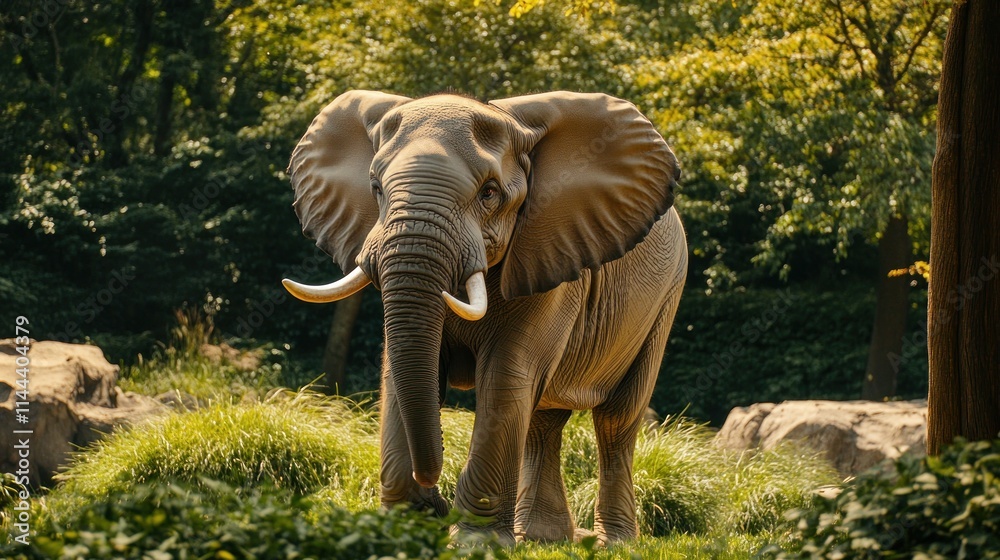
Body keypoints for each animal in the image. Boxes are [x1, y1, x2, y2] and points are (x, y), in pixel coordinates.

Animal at [282, 90, 687, 544]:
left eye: (489, 193)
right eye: (375, 188)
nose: (435, 500)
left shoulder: (547, 255)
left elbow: (506, 376)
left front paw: (477, 542)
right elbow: (399, 373)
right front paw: (406, 527)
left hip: (667, 295)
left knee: (617, 419)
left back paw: (611, 541)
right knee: (544, 420)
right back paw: (544, 538)